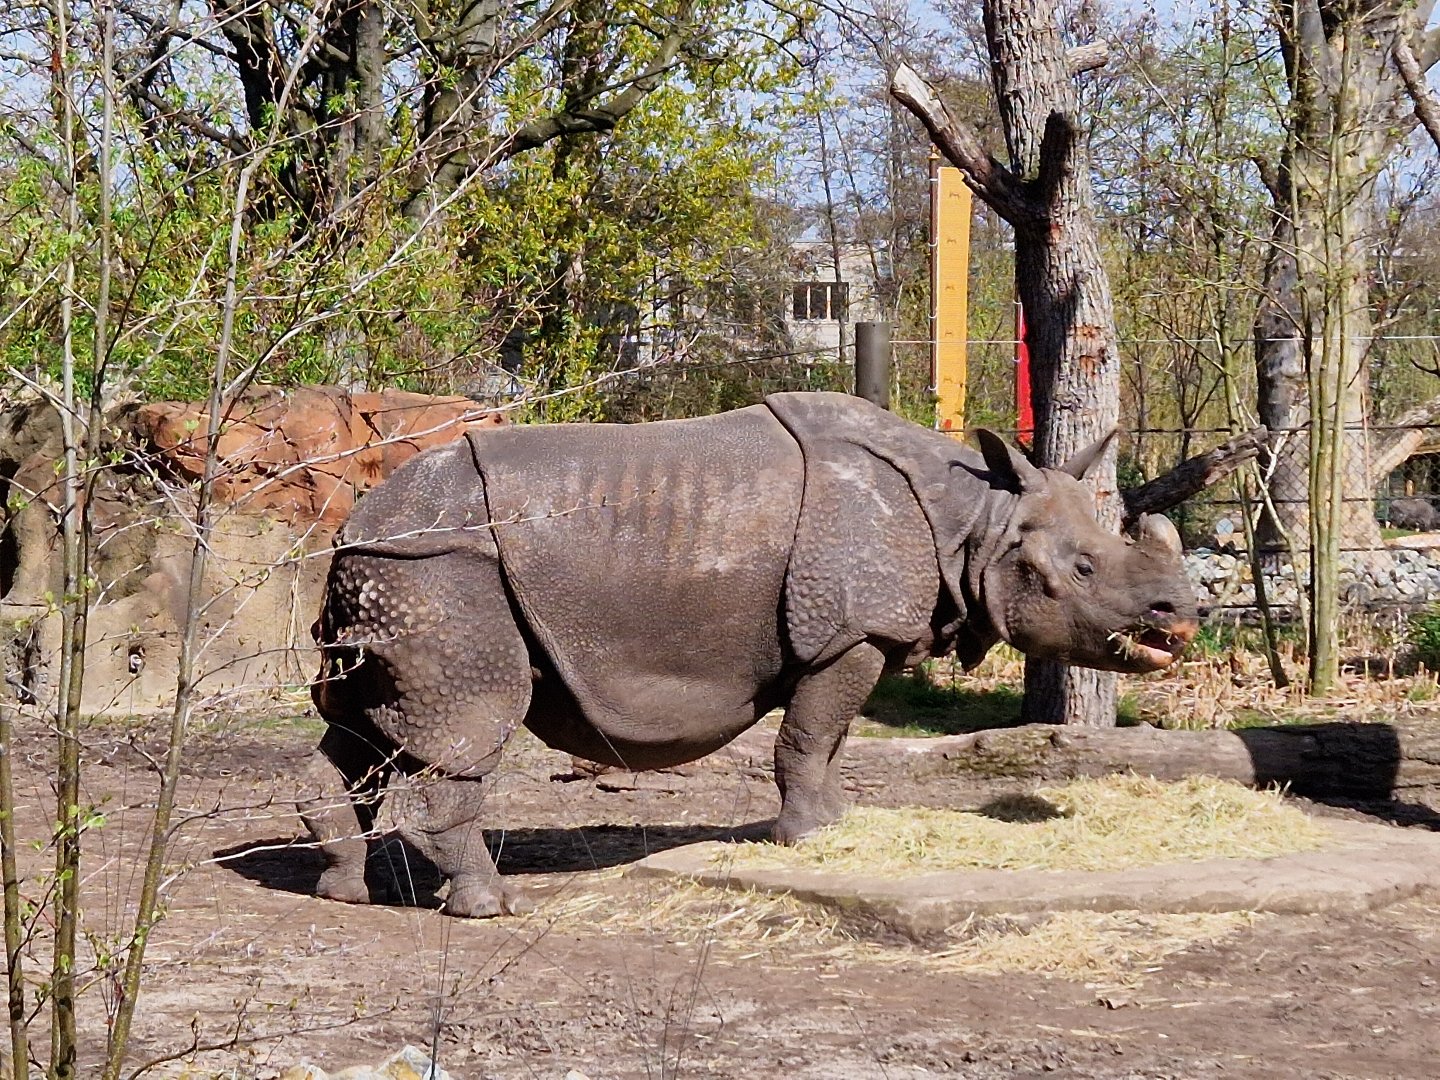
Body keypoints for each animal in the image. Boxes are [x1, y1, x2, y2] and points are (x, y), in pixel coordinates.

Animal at [302, 392, 1197, 917]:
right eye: (1083, 571)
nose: (1184, 614)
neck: (975, 516)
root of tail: (355, 523)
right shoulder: (850, 631)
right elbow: (807, 737)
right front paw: (803, 836)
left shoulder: (853, 637)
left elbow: (828, 740)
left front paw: (835, 824)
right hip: (445, 566)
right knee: (464, 723)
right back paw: (486, 905)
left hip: (389, 571)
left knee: (360, 727)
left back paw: (342, 889)